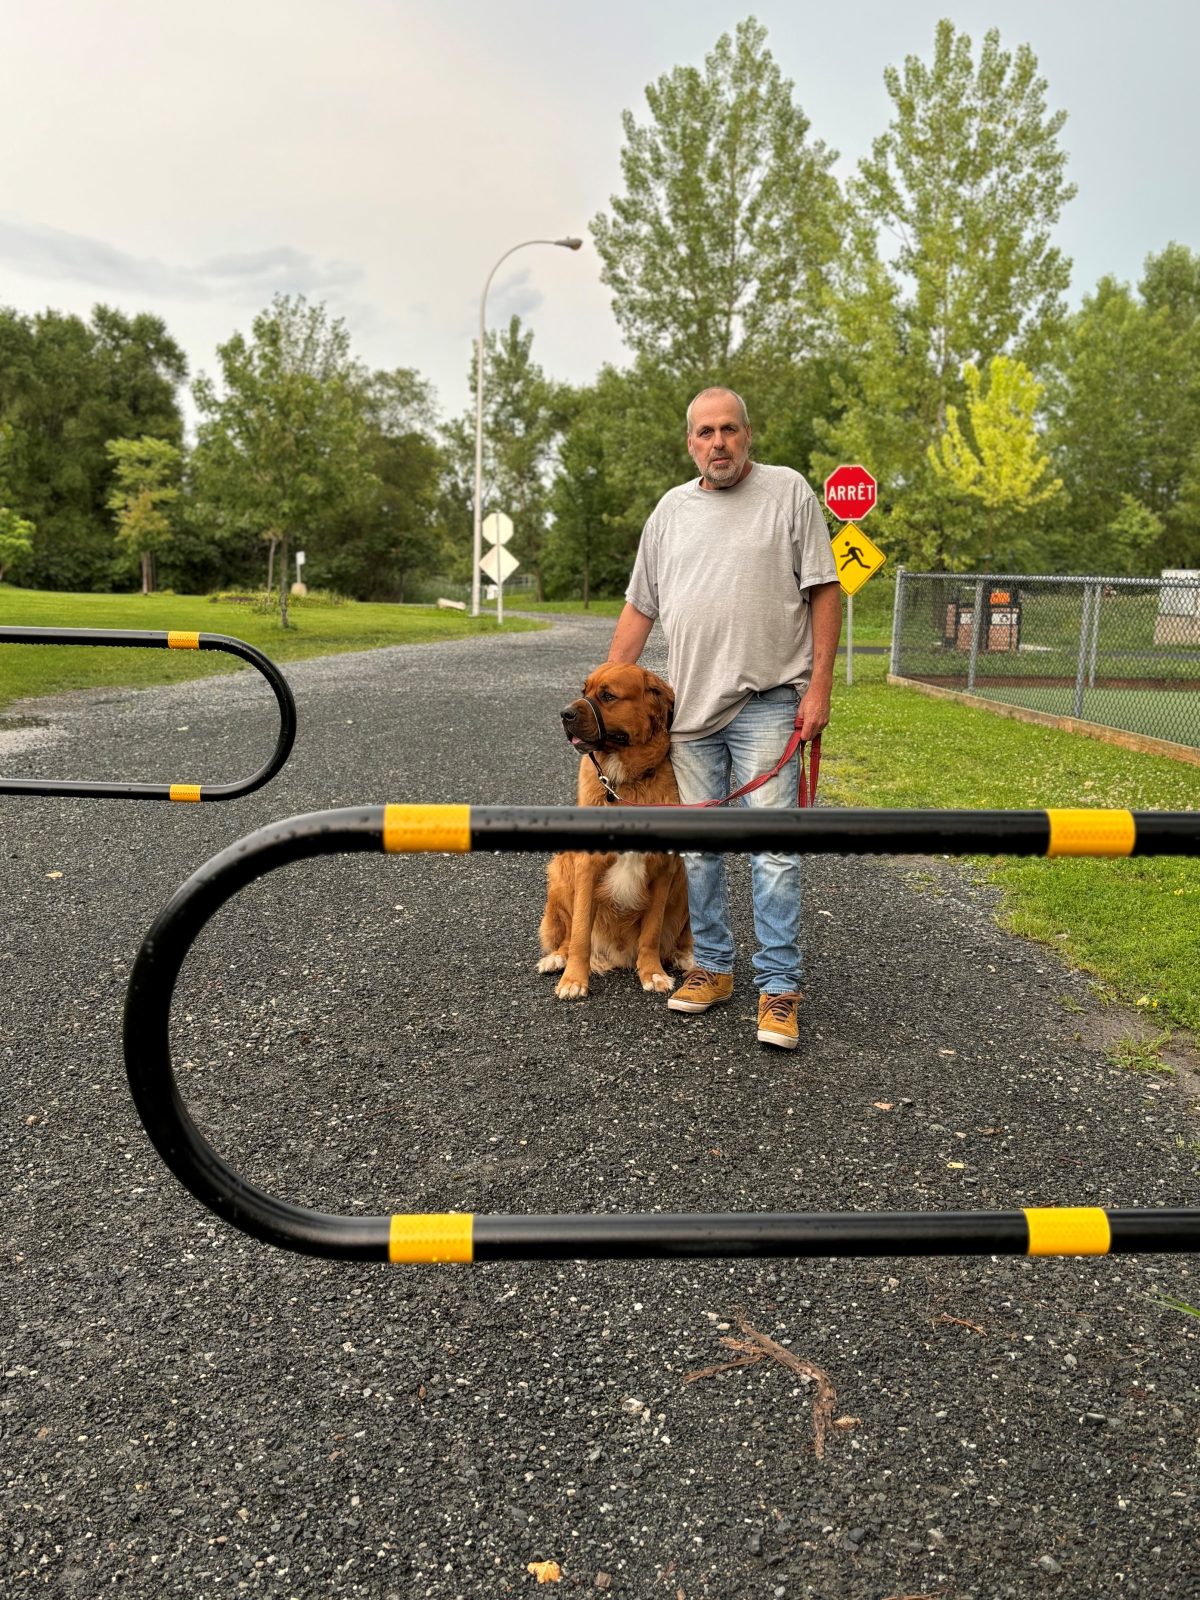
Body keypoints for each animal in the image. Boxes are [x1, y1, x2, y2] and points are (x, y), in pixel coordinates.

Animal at [537, 662, 694, 998]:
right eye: (584, 691)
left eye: (608, 695)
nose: (564, 714)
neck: (626, 781)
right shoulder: (587, 867)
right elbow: (581, 932)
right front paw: (574, 979)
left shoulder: (664, 869)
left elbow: (651, 932)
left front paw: (651, 972)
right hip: (560, 872)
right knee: (567, 935)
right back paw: (557, 958)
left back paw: (685, 953)